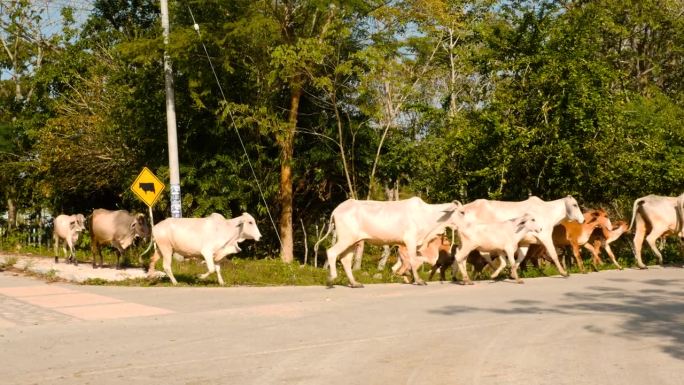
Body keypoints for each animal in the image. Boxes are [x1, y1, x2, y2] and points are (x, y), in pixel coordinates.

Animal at [318, 196, 462, 286]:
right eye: (461, 212)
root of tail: (338, 209)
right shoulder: (410, 240)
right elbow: (414, 261)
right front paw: (419, 280)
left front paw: (413, 279)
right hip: (346, 238)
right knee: (331, 252)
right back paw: (331, 279)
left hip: (353, 241)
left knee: (345, 259)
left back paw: (354, 283)